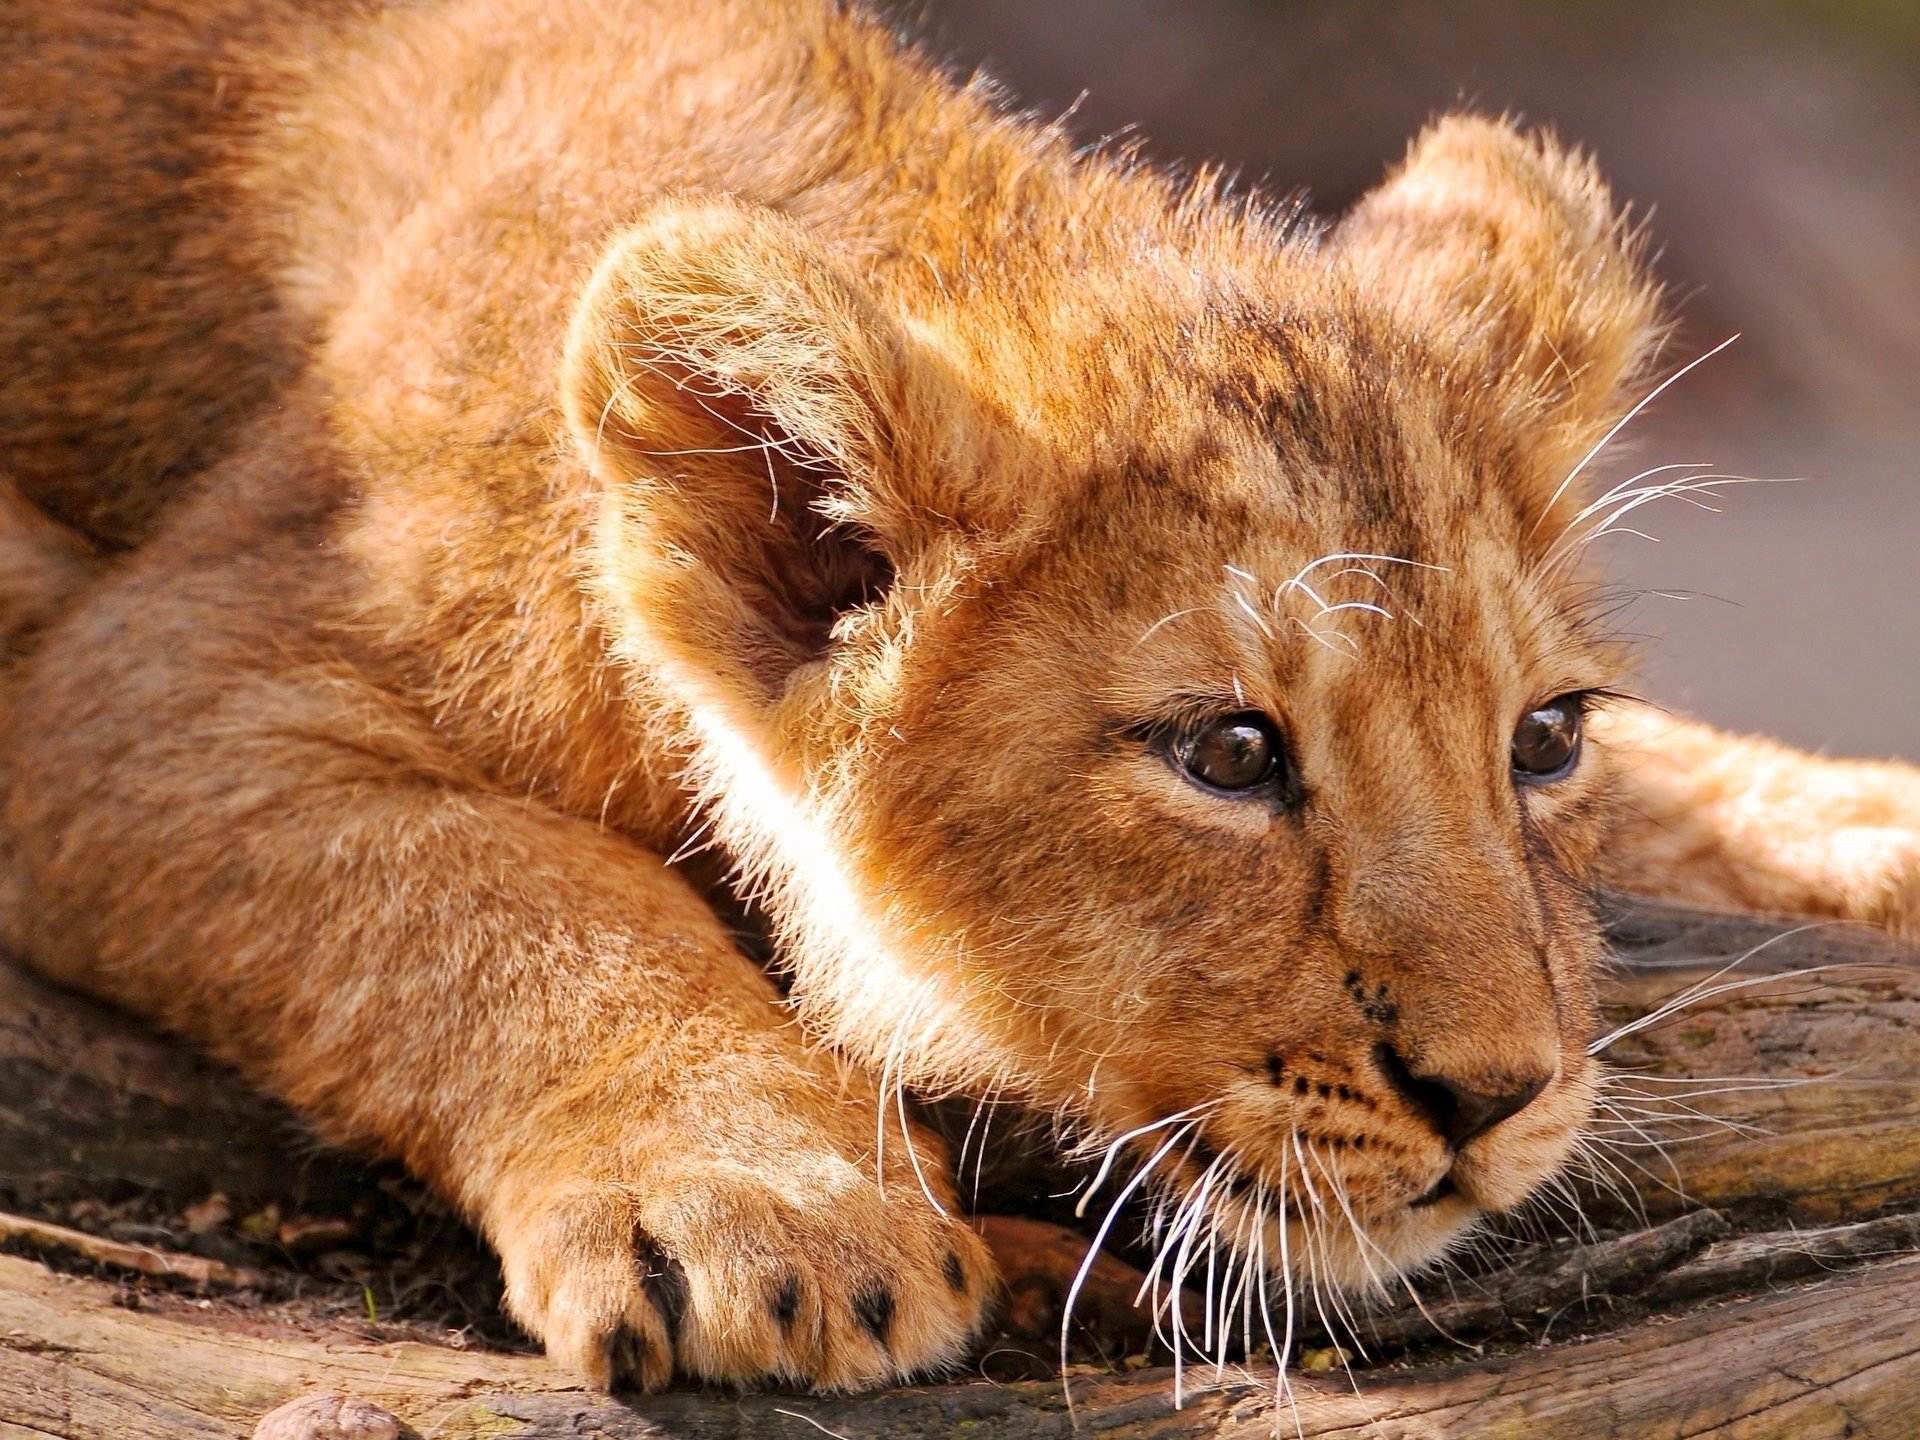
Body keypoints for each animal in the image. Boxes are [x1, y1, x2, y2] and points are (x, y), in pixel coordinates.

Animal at [2, 0, 1916, 1395]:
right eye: (1231, 753)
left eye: (1545, 740)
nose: (1500, 1101)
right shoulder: (146, 685)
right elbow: (500, 888)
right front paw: (765, 1207)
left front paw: (1868, 831)